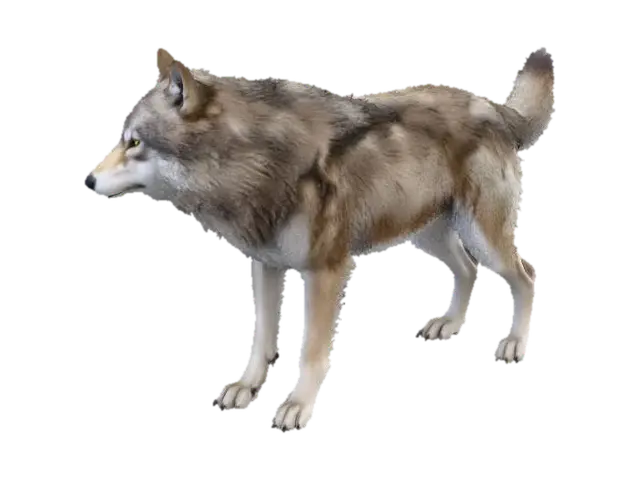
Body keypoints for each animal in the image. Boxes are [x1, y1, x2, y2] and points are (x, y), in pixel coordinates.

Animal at [85, 45, 555, 432]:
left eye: (135, 143)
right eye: (123, 139)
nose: (86, 180)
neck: (256, 162)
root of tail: (490, 107)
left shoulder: (325, 272)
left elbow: (311, 349)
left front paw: (298, 407)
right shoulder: (266, 264)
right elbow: (260, 336)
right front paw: (246, 388)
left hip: (484, 238)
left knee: (526, 275)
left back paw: (514, 344)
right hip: (430, 236)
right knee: (468, 270)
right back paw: (449, 324)